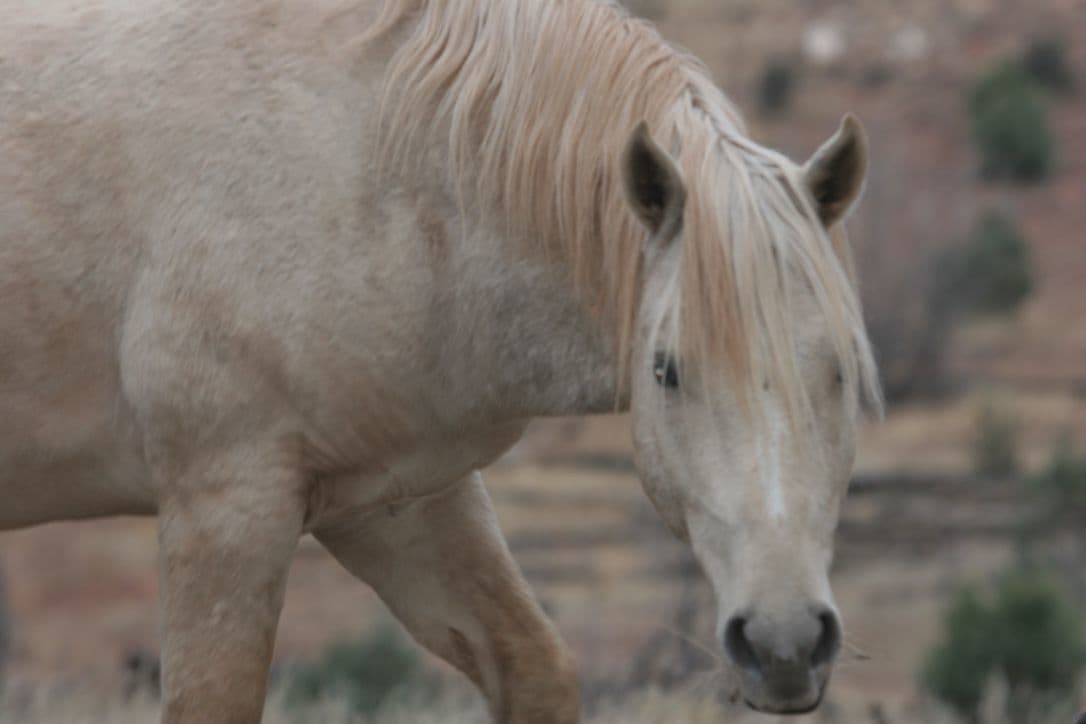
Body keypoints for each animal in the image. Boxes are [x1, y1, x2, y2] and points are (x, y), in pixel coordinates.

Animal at [0, 0, 881, 721]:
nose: (783, 643)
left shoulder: (397, 503)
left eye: (841, 368)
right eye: (666, 370)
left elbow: (536, 670)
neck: (376, 159)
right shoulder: (225, 507)